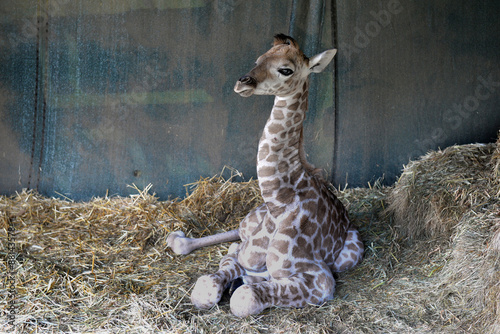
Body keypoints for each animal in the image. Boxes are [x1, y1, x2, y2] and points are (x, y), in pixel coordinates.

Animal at [168, 34, 364, 318]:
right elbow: (206, 286)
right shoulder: (242, 256)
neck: (278, 203)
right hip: (248, 222)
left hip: (349, 256)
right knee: (234, 238)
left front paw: (242, 285)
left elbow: (244, 298)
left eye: (286, 69)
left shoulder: (321, 279)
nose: (242, 82)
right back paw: (178, 240)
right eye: (258, 59)